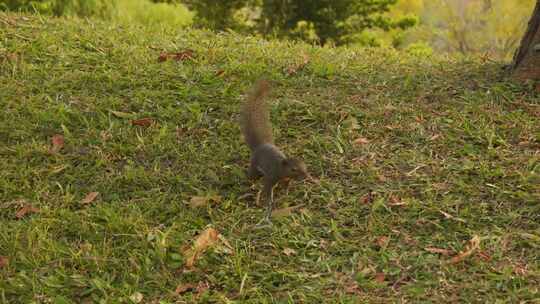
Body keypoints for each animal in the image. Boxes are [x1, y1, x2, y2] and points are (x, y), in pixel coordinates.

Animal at [240, 79, 308, 227]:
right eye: (294, 169)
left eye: (305, 167)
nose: (306, 176)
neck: (282, 170)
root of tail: (260, 146)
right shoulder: (271, 177)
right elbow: (267, 189)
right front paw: (269, 202)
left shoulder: (286, 179)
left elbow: (286, 185)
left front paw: (287, 192)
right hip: (254, 167)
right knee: (252, 176)